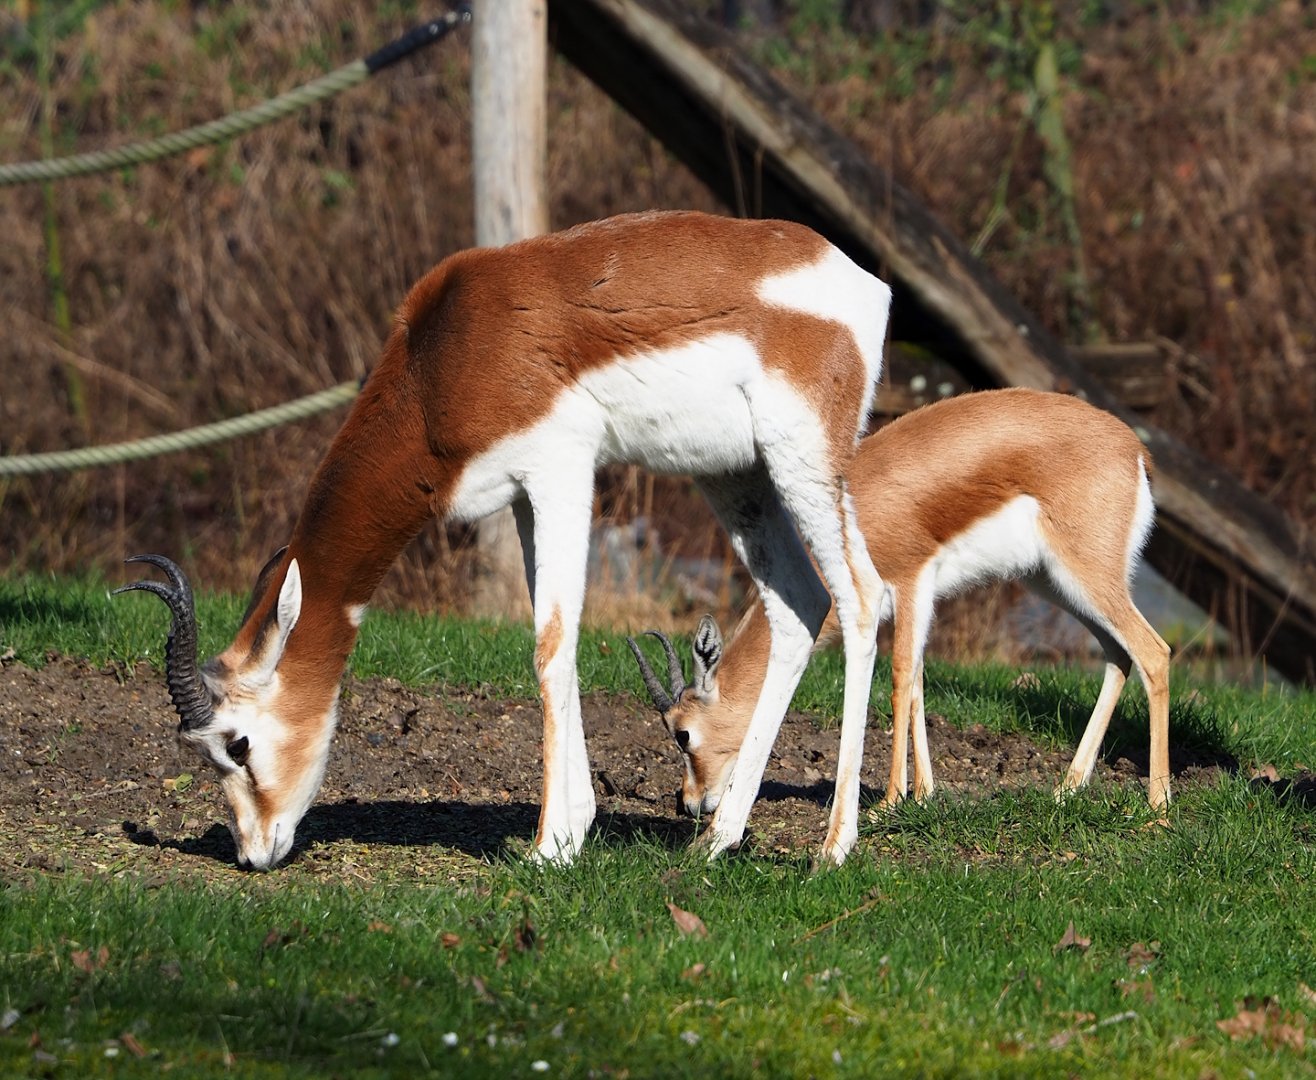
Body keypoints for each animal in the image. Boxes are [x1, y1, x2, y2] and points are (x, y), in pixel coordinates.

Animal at [117, 210, 892, 871]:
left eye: (238, 743)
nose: (254, 852)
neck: (443, 357)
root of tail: (861, 282)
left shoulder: (561, 469)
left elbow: (550, 645)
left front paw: (548, 848)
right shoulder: (521, 495)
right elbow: (556, 644)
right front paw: (575, 829)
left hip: (803, 461)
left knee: (861, 598)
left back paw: (833, 847)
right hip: (736, 475)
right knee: (798, 603)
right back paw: (719, 840)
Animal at [629, 388, 1172, 827]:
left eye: (682, 734)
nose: (687, 802)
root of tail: (1135, 450)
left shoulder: (911, 582)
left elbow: (898, 680)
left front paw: (890, 802)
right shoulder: (913, 601)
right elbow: (917, 685)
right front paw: (925, 795)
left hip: (1087, 576)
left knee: (1153, 652)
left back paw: (1159, 808)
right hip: (1054, 582)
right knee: (1117, 655)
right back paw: (1066, 789)